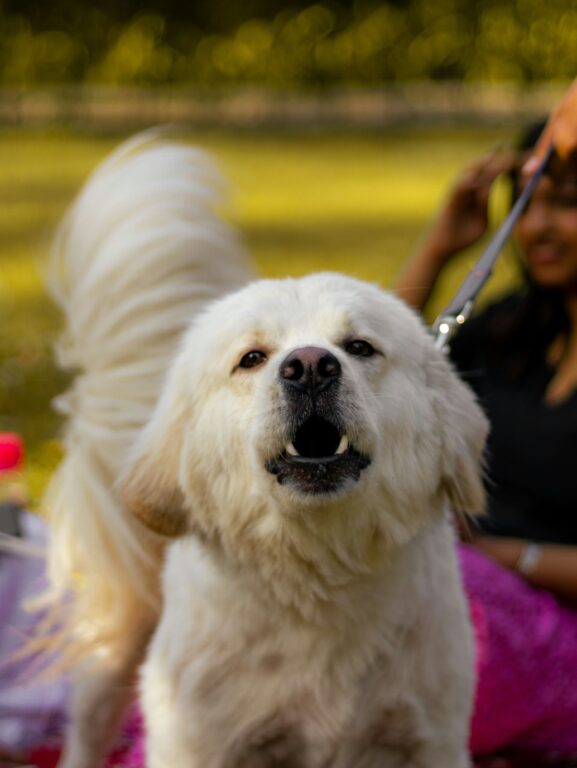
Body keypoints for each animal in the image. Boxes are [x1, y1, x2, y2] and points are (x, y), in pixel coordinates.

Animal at [42, 134, 488, 768]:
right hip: (116, 640)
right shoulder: (200, 743)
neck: (321, 572)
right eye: (252, 358)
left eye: (359, 347)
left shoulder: (430, 737)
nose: (310, 366)